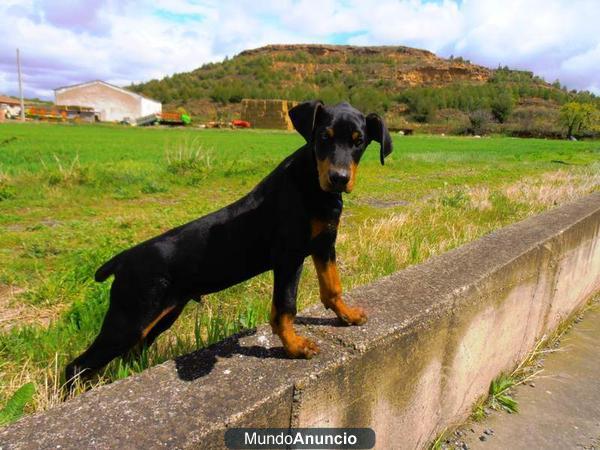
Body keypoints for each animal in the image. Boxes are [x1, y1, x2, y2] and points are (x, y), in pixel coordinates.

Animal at [65, 101, 394, 386]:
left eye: (359, 142)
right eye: (324, 137)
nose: (339, 178)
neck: (312, 183)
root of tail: (122, 259)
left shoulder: (324, 243)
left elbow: (332, 287)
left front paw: (347, 315)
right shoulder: (289, 256)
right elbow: (285, 306)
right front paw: (294, 347)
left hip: (162, 316)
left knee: (132, 353)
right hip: (129, 318)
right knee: (78, 365)